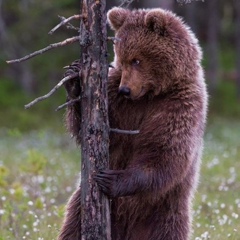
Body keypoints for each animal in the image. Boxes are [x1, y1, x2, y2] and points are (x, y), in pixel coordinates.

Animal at [57, 6, 207, 240]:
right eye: (122, 57)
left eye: (137, 60)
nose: (125, 90)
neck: (151, 94)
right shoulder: (117, 99)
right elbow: (96, 132)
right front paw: (73, 80)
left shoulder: (181, 106)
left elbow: (166, 152)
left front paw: (111, 180)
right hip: (83, 206)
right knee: (73, 227)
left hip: (164, 214)